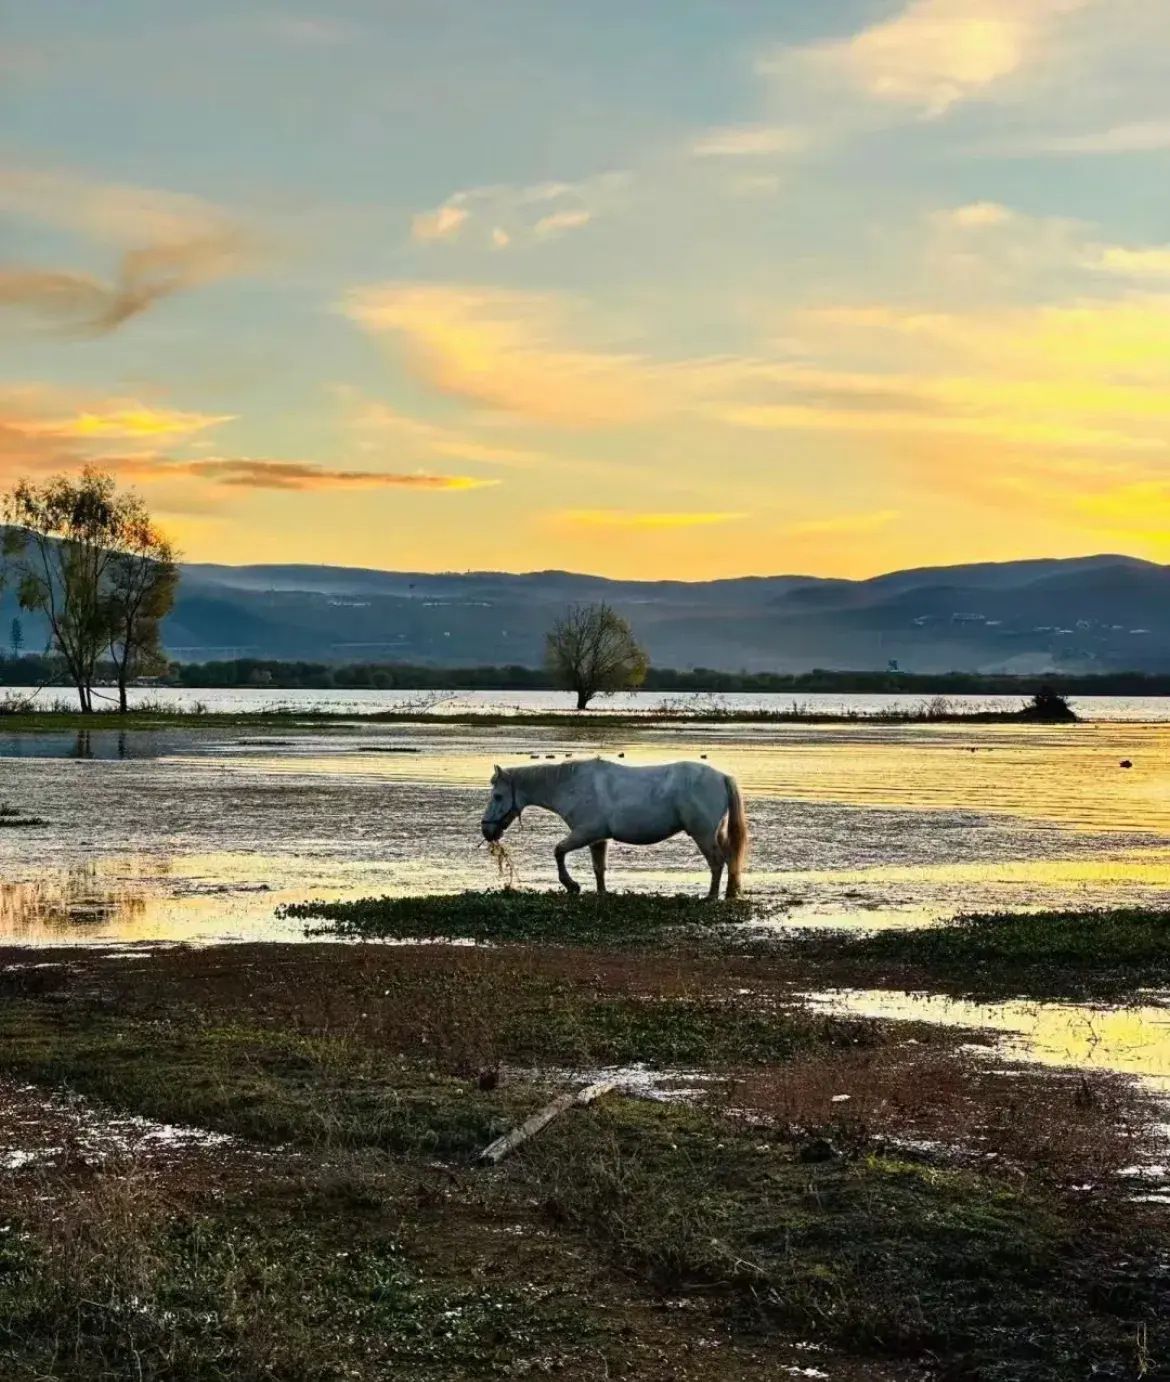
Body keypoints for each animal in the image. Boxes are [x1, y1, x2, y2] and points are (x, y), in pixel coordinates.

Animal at [483, 757, 751, 895]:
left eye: (497, 796)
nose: (487, 830)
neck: (572, 785)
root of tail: (722, 777)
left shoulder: (585, 833)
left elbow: (558, 851)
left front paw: (571, 885)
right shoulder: (598, 839)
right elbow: (598, 868)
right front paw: (601, 893)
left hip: (703, 834)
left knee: (717, 862)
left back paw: (711, 897)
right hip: (715, 833)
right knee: (730, 859)